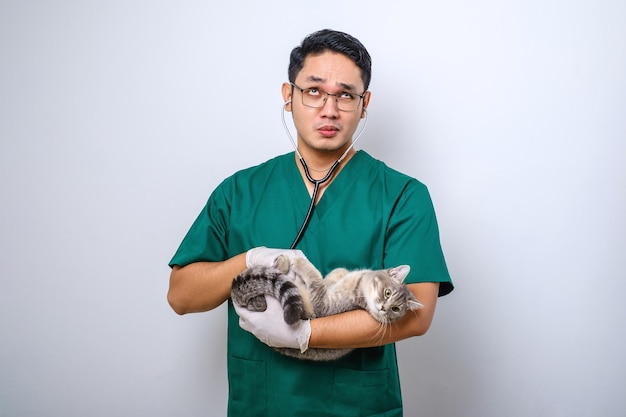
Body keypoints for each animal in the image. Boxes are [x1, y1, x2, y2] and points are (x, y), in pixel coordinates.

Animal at [229, 254, 420, 360]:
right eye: (387, 293)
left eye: (396, 309)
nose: (384, 308)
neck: (360, 285)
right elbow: (335, 273)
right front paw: (331, 277)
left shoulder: (322, 306)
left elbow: (316, 281)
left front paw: (301, 263)